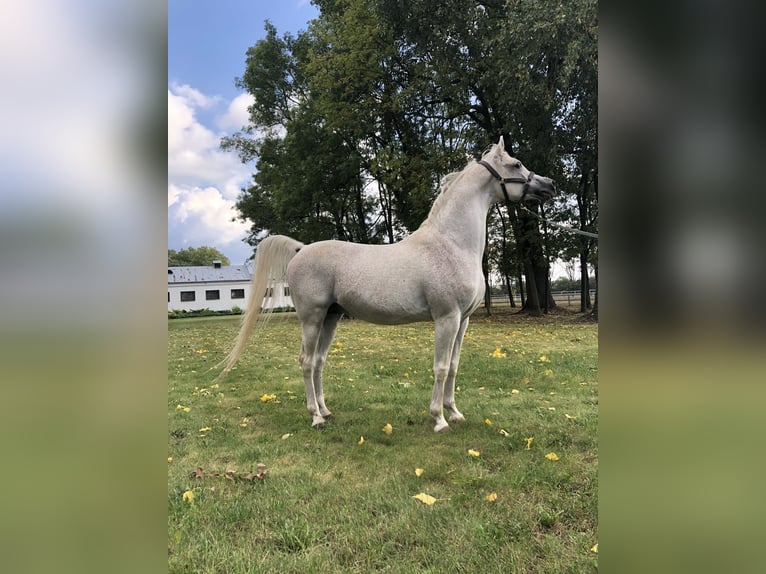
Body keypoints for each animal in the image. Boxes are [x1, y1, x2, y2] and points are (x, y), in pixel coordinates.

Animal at [219, 136, 556, 432]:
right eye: (516, 164)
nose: (549, 185)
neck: (451, 244)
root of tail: (302, 249)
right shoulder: (446, 318)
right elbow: (440, 367)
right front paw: (439, 419)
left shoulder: (463, 321)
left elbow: (454, 366)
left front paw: (454, 412)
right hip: (312, 318)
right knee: (305, 361)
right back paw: (315, 417)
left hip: (331, 317)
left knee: (318, 362)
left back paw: (326, 411)